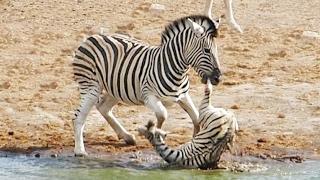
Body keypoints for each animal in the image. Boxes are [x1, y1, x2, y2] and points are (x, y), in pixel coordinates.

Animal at [73, 15, 222, 156]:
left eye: (216, 50)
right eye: (207, 50)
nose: (218, 78)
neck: (173, 68)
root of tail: (92, 37)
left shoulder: (183, 96)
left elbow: (196, 118)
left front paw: (194, 141)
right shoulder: (148, 96)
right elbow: (163, 114)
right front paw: (157, 136)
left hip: (115, 88)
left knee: (103, 108)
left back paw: (127, 137)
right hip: (91, 87)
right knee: (78, 116)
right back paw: (80, 151)